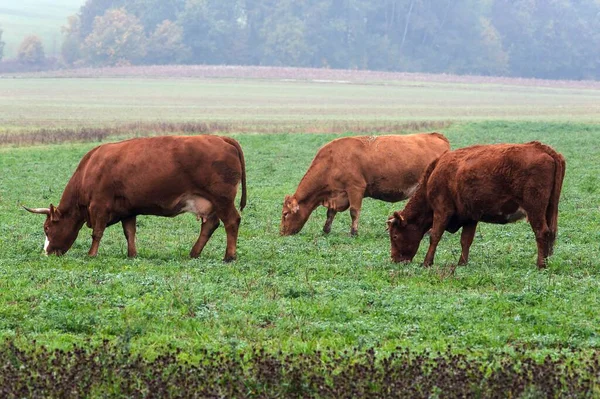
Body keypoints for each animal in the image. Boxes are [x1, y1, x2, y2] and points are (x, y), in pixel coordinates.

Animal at [24, 135, 246, 262]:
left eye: (47, 228)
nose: (46, 252)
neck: (90, 168)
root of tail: (221, 138)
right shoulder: (127, 210)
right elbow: (129, 233)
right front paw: (132, 255)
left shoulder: (99, 206)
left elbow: (97, 233)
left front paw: (91, 254)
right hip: (212, 203)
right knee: (210, 225)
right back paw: (194, 253)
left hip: (222, 199)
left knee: (231, 222)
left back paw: (229, 256)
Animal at [282, 133, 450, 236]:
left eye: (285, 214)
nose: (282, 233)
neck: (331, 161)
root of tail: (435, 136)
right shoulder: (337, 193)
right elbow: (330, 213)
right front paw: (326, 229)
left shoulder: (355, 188)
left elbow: (354, 211)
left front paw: (354, 232)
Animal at [386, 141, 564, 268]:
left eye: (395, 236)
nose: (394, 259)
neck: (435, 174)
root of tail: (543, 149)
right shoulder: (470, 217)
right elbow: (466, 240)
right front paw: (462, 263)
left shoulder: (442, 210)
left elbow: (435, 236)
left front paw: (426, 263)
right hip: (549, 210)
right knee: (550, 234)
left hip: (535, 210)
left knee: (542, 232)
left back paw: (540, 265)